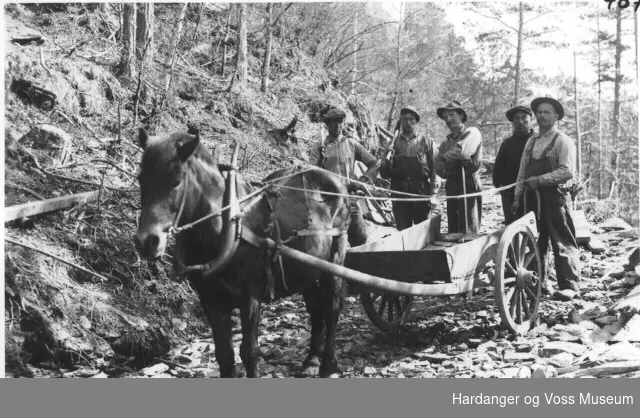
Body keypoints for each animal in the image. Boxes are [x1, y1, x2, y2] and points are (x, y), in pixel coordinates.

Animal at [131, 129, 350, 378]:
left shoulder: (250, 294)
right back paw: (312, 359)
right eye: (141, 179)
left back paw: (328, 364)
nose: (146, 241)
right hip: (308, 268)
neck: (225, 226)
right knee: (315, 309)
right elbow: (225, 355)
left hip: (335, 259)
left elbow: (249, 352)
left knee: (331, 308)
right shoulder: (211, 299)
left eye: (176, 182)